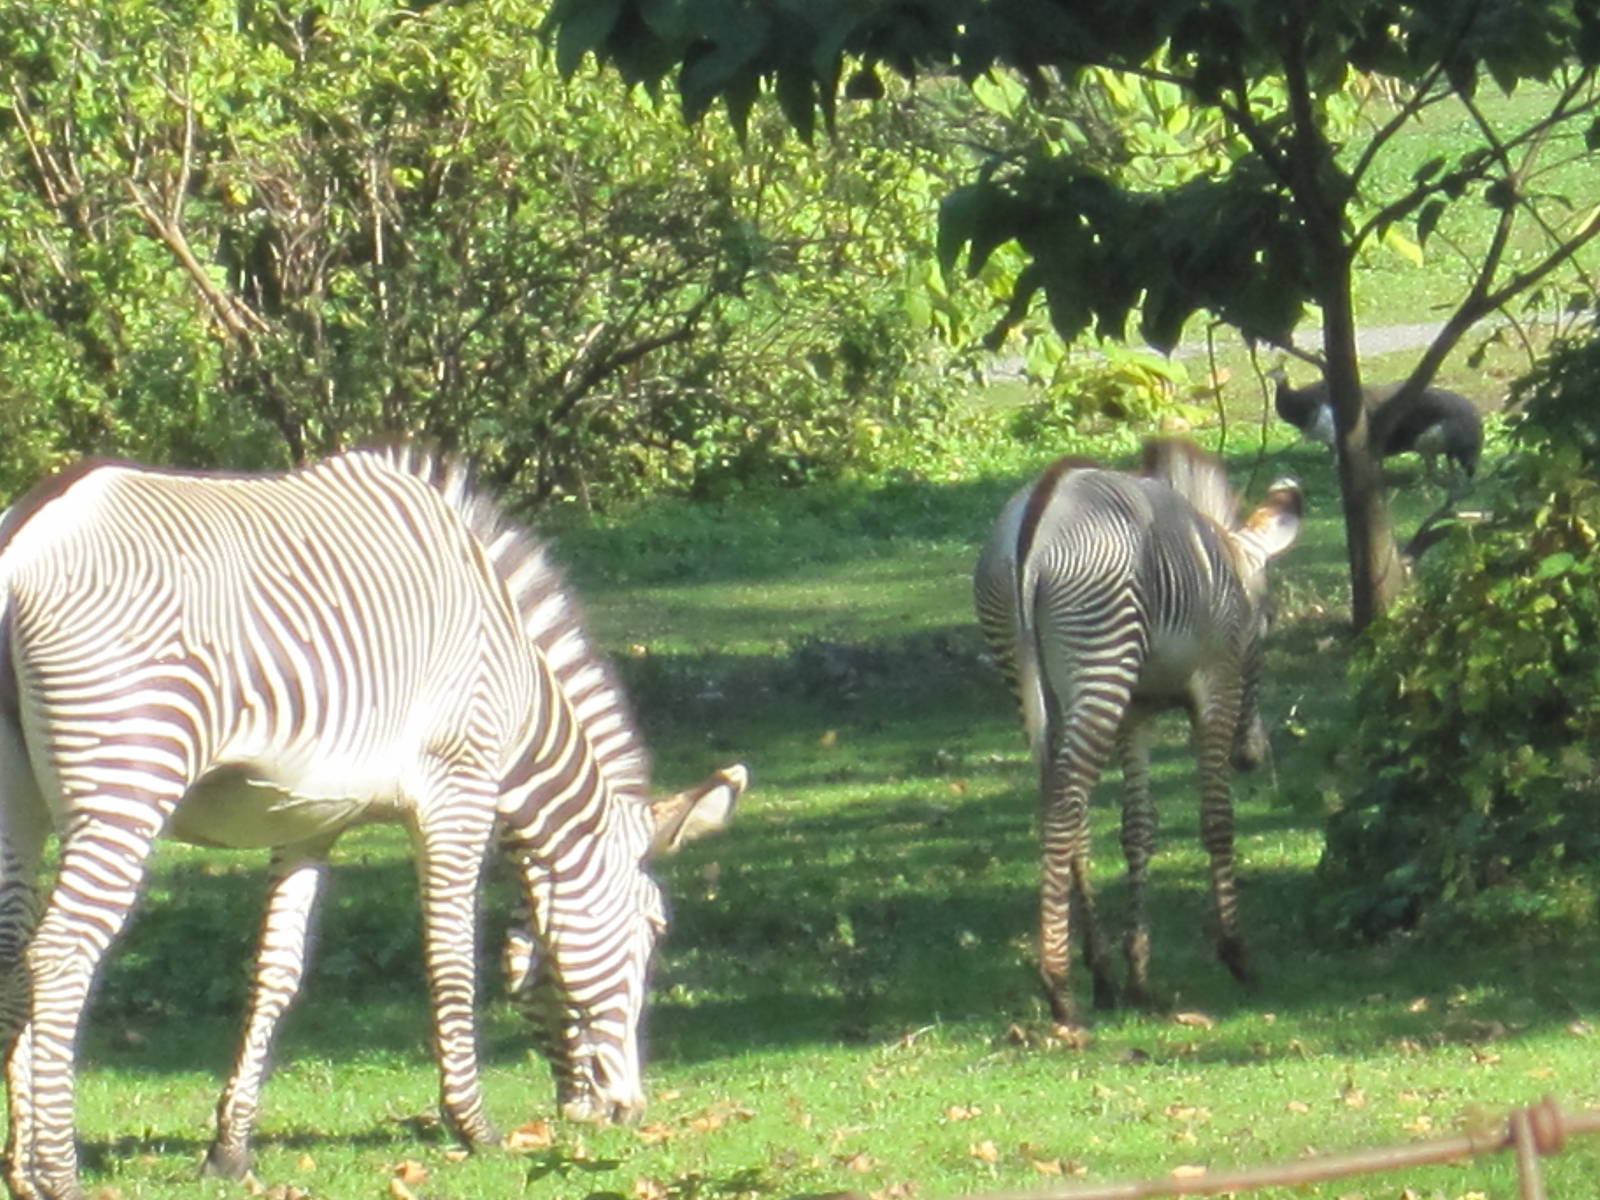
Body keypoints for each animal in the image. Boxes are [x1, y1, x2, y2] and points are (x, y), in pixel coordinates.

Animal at [0, 447, 746, 1200]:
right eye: (653, 928)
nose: (624, 1111)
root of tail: (26, 535)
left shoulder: (304, 820)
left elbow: (277, 973)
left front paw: (231, 1149)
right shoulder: (458, 792)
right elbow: (449, 958)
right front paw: (475, 1127)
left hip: (20, 801)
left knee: (13, 954)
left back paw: (22, 1171)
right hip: (127, 778)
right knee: (58, 956)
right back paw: (58, 1174)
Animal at [974, 440, 1300, 1025]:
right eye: (1265, 624)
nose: (1252, 757)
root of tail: (1040, 509)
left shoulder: (1137, 713)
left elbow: (1138, 829)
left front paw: (1139, 977)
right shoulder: (1217, 687)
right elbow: (1217, 821)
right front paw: (1236, 953)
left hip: (1030, 671)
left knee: (1063, 803)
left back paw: (1099, 973)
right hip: (1102, 654)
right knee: (1066, 806)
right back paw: (1059, 986)